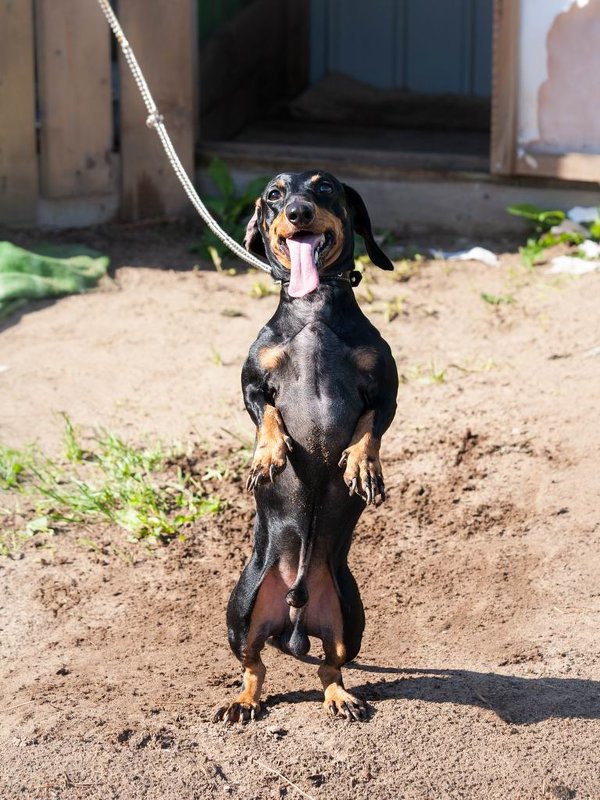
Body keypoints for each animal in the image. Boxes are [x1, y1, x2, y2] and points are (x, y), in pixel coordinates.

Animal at [213, 172, 396, 720]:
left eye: (325, 188)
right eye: (273, 194)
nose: (297, 212)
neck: (313, 312)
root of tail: (295, 616)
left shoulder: (387, 388)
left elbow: (369, 427)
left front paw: (361, 466)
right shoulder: (253, 384)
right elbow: (268, 417)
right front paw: (268, 456)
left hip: (348, 615)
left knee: (329, 667)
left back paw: (341, 698)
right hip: (242, 609)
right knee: (254, 664)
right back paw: (244, 701)